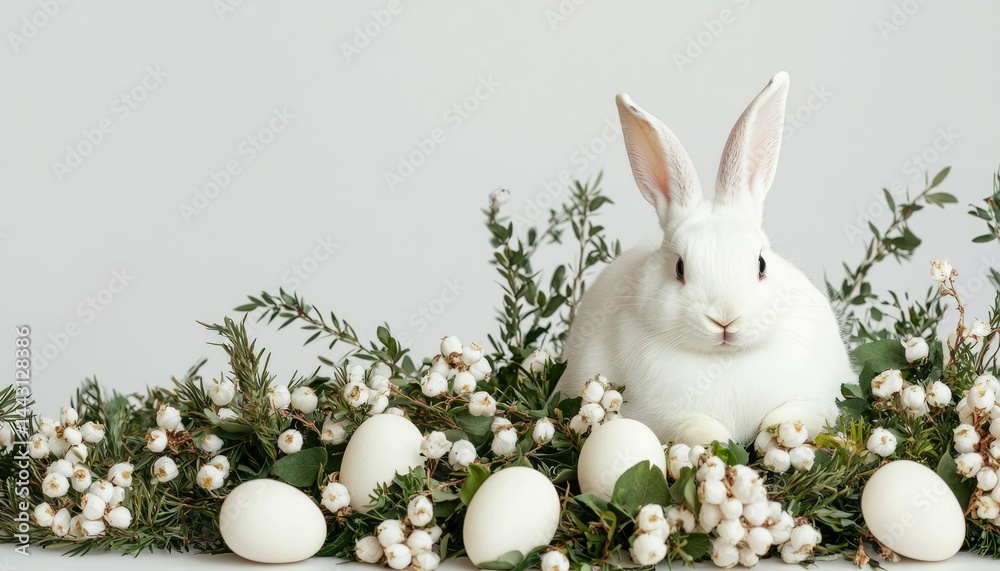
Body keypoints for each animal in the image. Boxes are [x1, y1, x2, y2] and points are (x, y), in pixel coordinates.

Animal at [556, 72, 851, 446]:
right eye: (679, 267)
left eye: (761, 264)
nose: (725, 318)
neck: (725, 359)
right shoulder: (664, 418)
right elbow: (697, 428)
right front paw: (719, 440)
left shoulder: (818, 397)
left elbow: (796, 414)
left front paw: (779, 429)